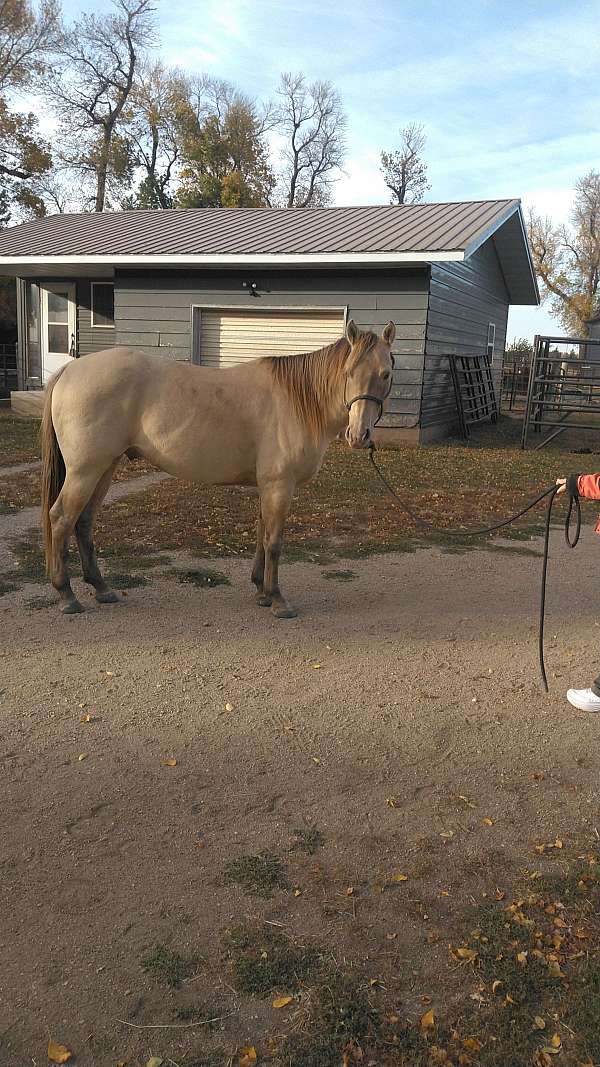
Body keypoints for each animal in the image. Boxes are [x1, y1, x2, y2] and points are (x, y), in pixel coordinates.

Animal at [40, 319, 396, 618]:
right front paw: (278, 600)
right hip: (86, 470)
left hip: (105, 468)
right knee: (61, 518)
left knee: (84, 521)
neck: (297, 400)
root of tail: (69, 370)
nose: (359, 435)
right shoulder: (280, 485)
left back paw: (102, 589)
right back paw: (67, 595)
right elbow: (274, 542)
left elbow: (261, 534)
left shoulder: (267, 486)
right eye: (349, 372)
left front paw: (261, 592)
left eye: (385, 374)